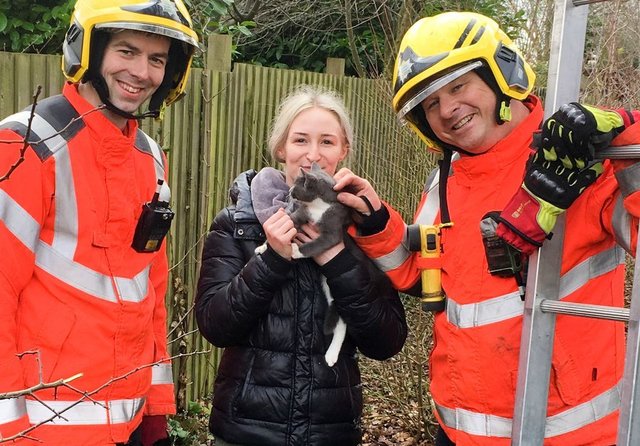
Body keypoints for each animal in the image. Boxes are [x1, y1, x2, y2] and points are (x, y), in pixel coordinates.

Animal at [256, 164, 350, 366]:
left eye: (298, 186)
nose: (290, 191)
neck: (318, 206)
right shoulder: (300, 215)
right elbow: (289, 222)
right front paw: (263, 247)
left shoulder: (333, 230)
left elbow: (316, 244)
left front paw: (295, 251)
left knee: (342, 323)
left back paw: (331, 356)